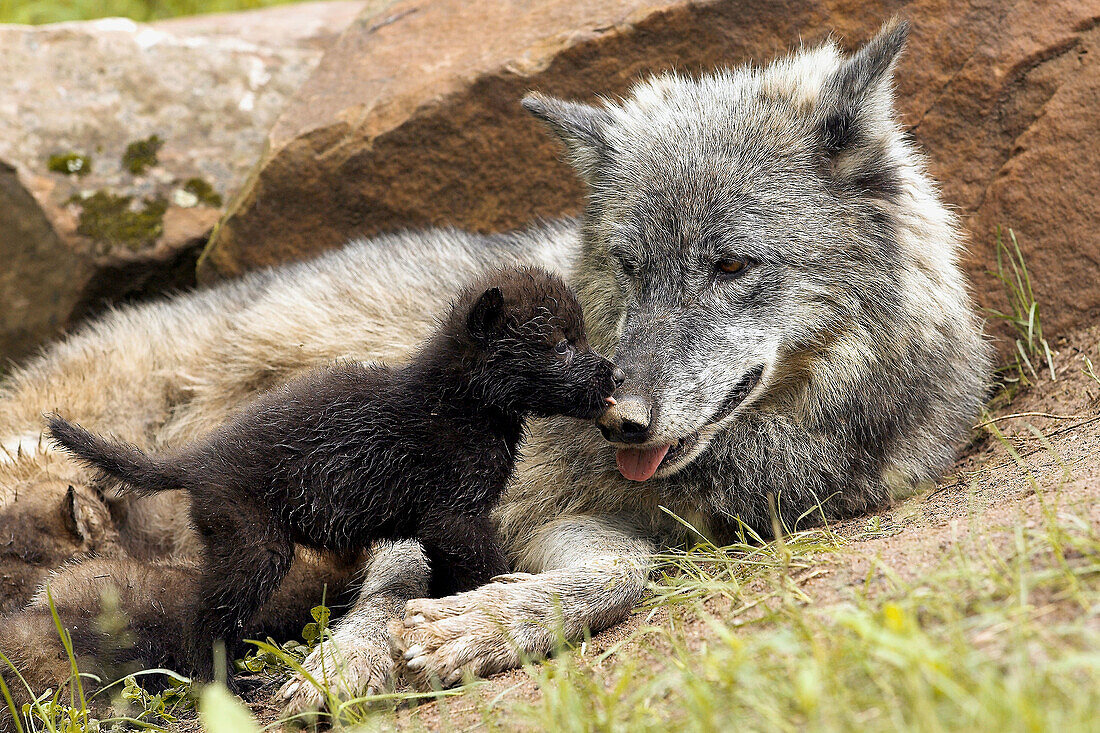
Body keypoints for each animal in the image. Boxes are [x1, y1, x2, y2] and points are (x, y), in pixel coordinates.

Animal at [0, 18, 990, 713]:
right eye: (630, 265)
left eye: (732, 265)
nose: (620, 416)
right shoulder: (421, 502)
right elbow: (393, 587)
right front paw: (346, 664)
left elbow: (621, 572)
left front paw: (485, 623)